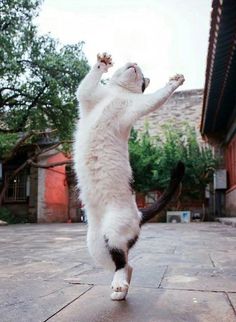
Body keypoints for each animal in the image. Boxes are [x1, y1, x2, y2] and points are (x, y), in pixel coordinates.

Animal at [73, 51, 185, 300]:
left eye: (141, 71)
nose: (135, 63)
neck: (117, 94)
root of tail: (139, 214)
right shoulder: (88, 96)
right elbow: (85, 85)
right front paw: (103, 62)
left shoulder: (136, 107)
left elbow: (157, 97)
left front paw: (174, 82)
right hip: (96, 246)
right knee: (124, 263)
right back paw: (120, 290)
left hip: (115, 231)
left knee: (124, 263)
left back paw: (119, 287)